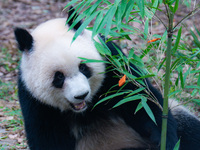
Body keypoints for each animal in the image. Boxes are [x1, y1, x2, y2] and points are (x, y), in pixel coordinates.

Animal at [13, 7, 198, 150]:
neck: (84, 110)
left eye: (83, 67)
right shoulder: (35, 100)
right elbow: (47, 137)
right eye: (58, 77)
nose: (81, 95)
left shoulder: (112, 63)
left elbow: (142, 102)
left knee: (189, 129)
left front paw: (166, 141)